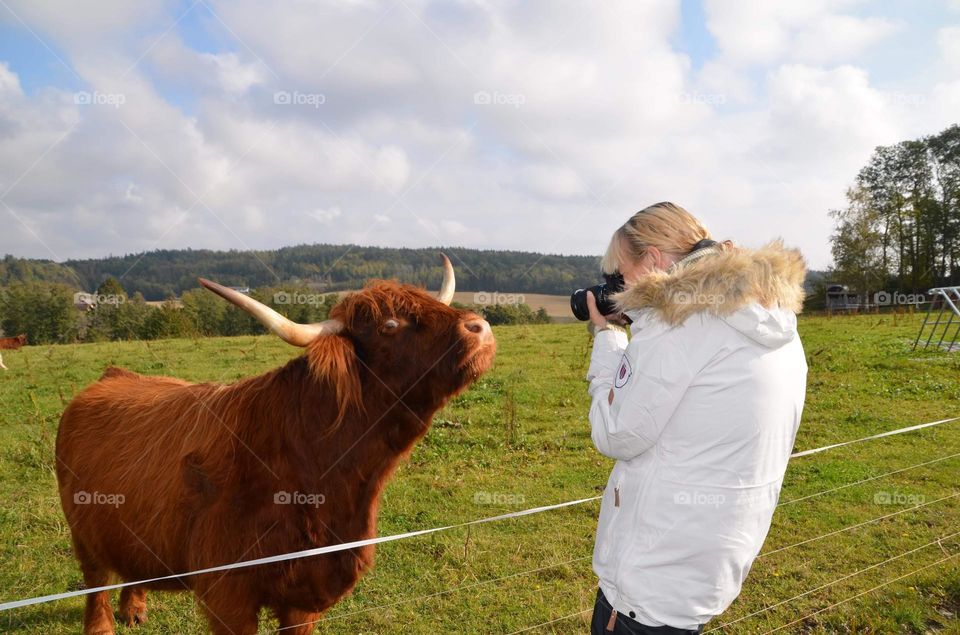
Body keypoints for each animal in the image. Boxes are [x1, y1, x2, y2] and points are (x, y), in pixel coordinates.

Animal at [56, 256, 498, 632]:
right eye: (389, 325)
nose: (480, 327)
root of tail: (114, 374)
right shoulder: (228, 596)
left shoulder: (304, 596)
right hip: (82, 528)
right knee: (95, 581)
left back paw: (134, 609)